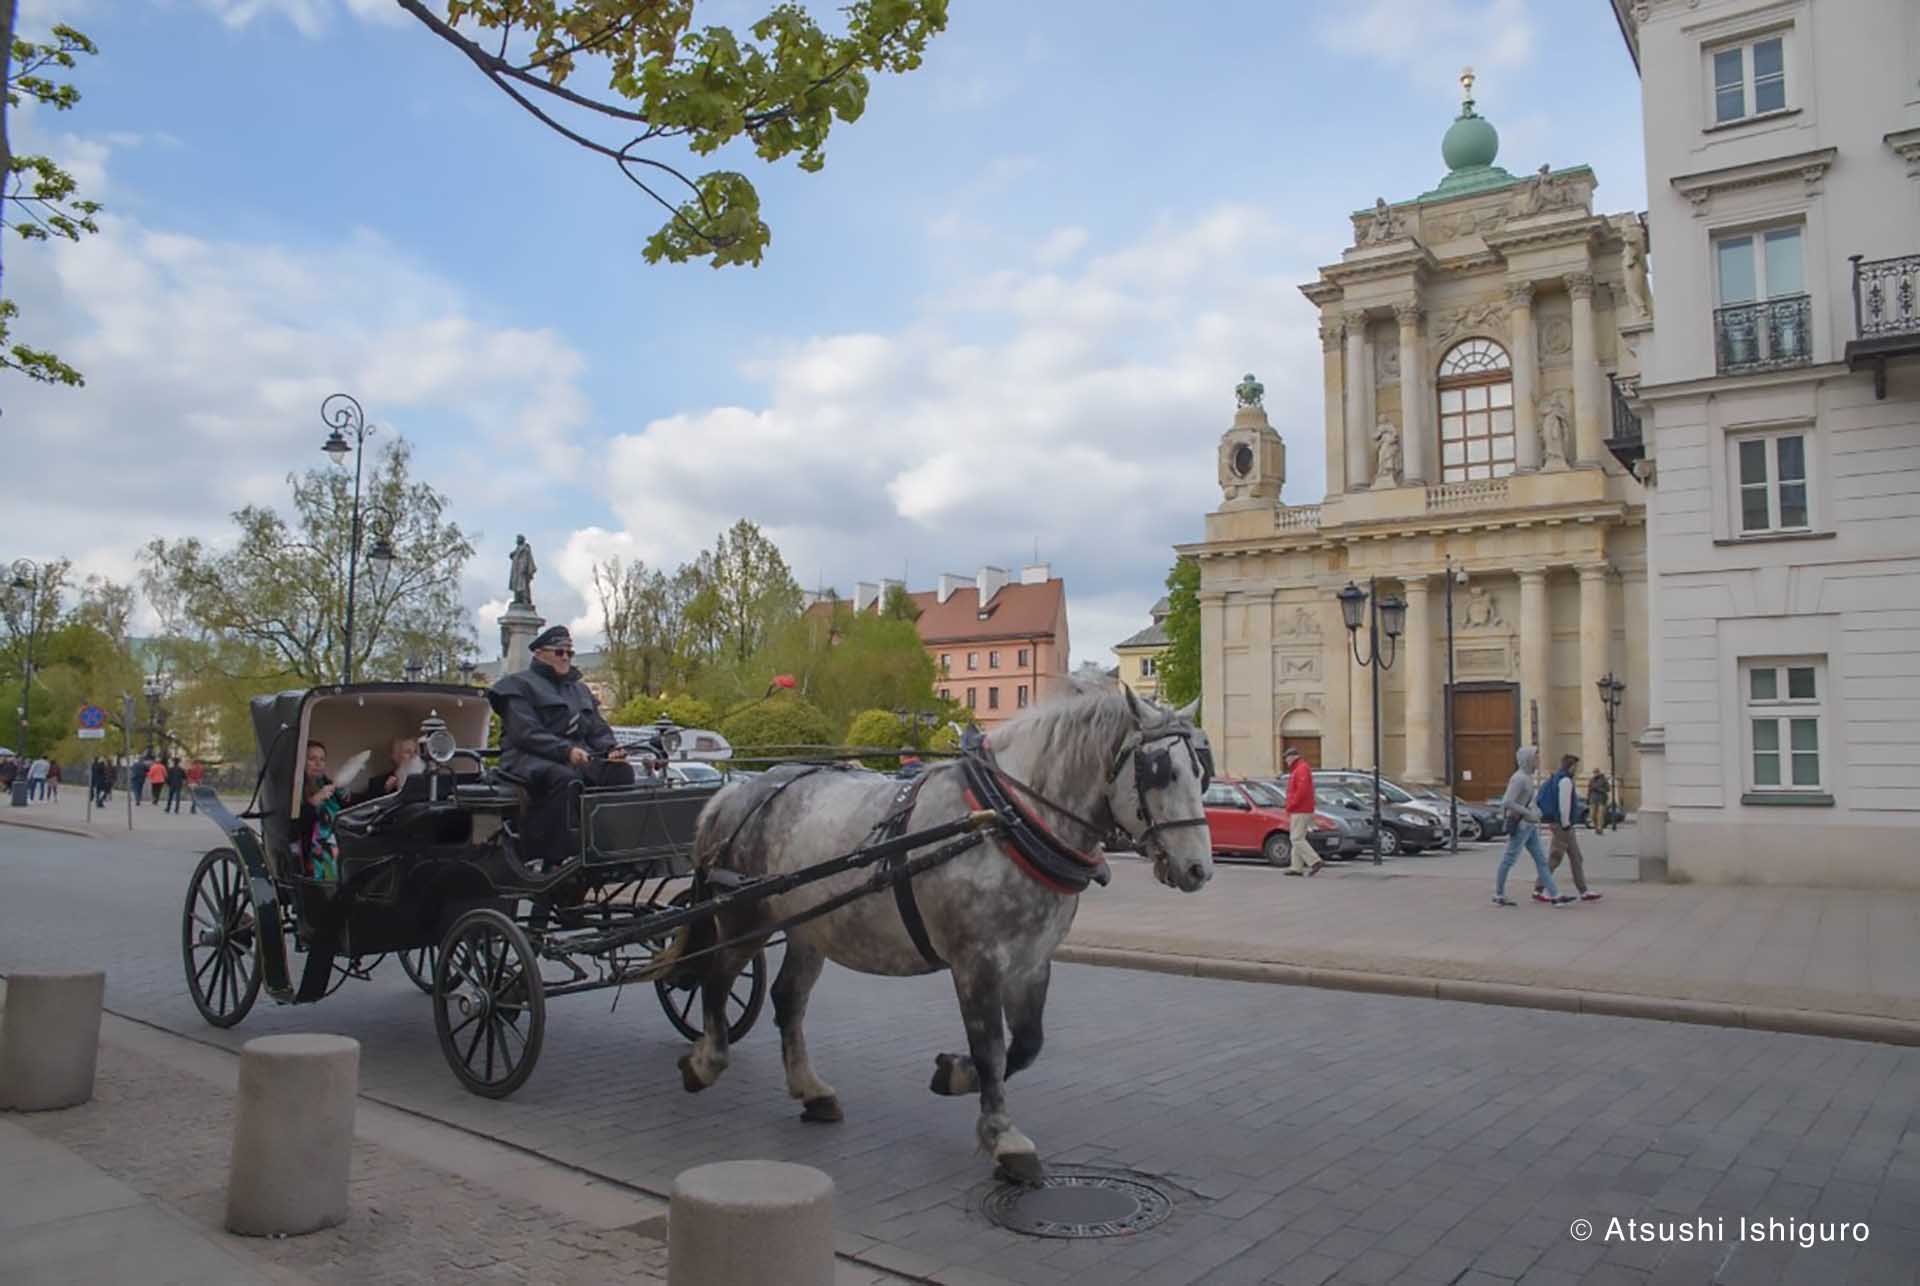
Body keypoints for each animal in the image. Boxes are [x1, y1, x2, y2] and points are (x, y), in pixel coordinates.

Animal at [679, 690, 1213, 1182]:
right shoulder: (976, 963)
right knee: (717, 977)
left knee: (788, 999)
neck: (1003, 819)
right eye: (1158, 770)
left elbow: (1027, 1044)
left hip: (810, 927)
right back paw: (706, 1061)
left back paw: (811, 1089)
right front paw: (1002, 1135)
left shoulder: (1032, 961)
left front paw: (955, 1074)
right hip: (746, 918)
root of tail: (732, 795)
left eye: (1201, 771)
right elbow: (990, 1048)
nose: (1198, 869)